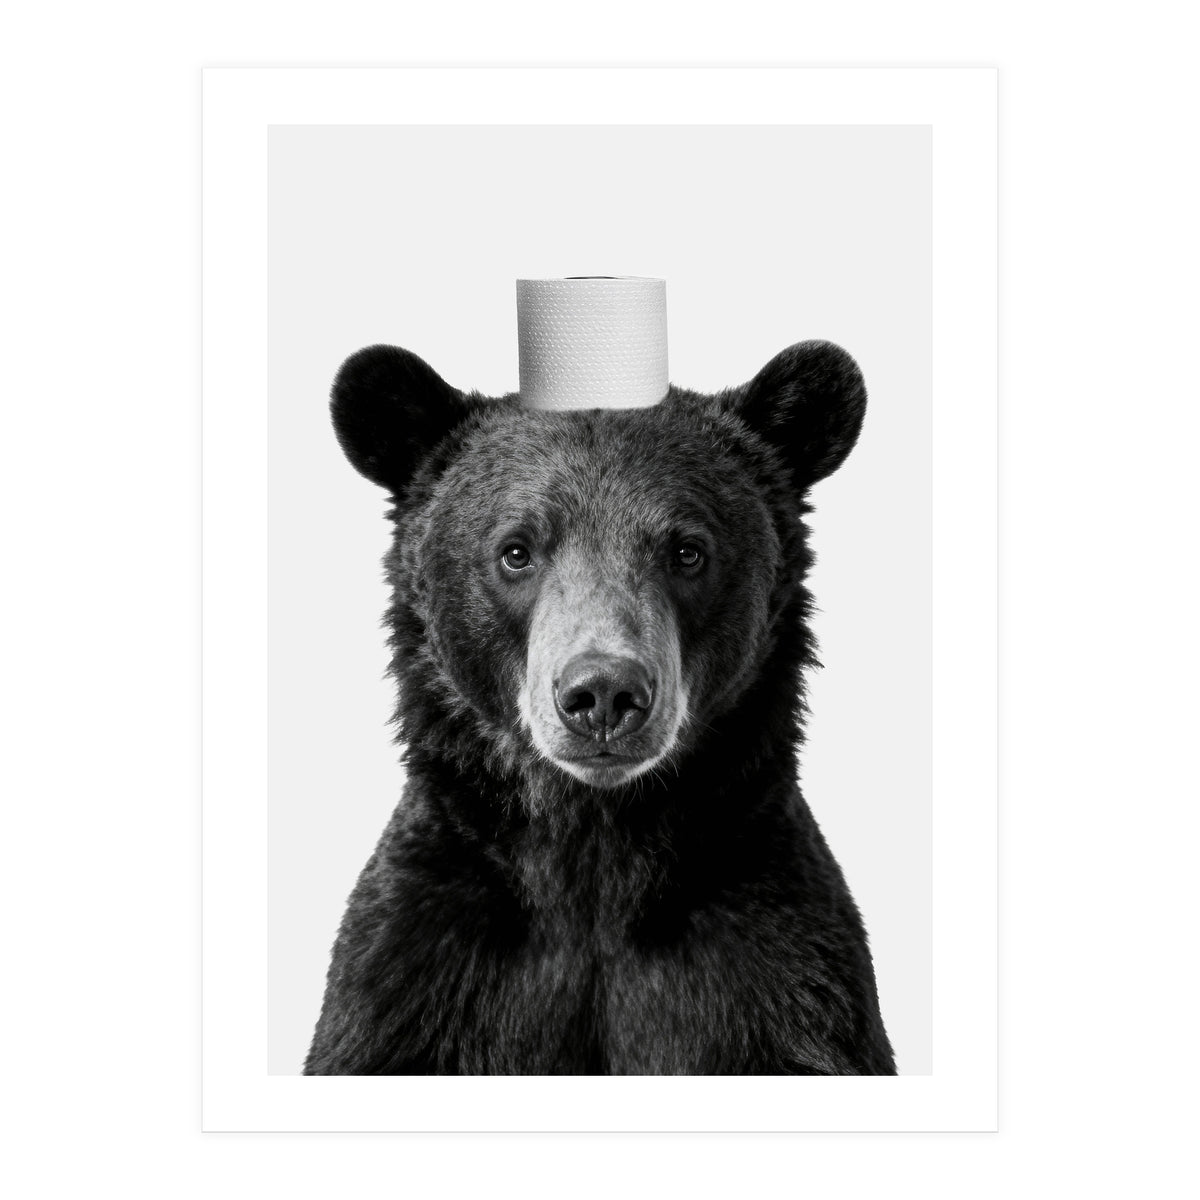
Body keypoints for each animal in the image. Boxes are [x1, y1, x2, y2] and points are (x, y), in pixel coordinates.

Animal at [304, 339, 897, 1076]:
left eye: (687, 551)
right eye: (516, 551)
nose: (604, 694)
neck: (595, 849)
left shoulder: (779, 971)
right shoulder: (418, 972)